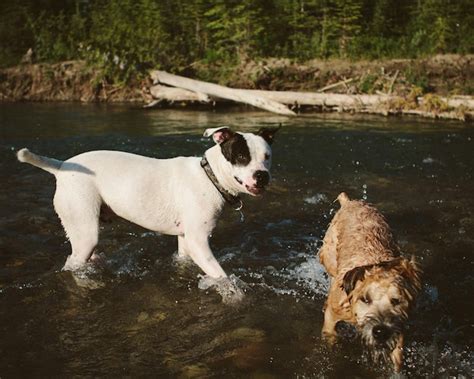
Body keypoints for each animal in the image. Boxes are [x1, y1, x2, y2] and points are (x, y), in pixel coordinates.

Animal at [17, 127, 278, 282]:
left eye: (267, 157)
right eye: (242, 157)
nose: (262, 176)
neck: (209, 176)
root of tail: (61, 166)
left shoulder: (186, 240)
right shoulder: (199, 242)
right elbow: (221, 276)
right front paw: (235, 295)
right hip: (84, 231)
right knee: (73, 263)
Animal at [318, 194, 422, 372]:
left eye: (396, 301)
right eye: (365, 299)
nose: (380, 331)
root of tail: (350, 202)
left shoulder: (398, 324)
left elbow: (398, 353)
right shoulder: (333, 315)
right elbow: (330, 333)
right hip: (329, 255)